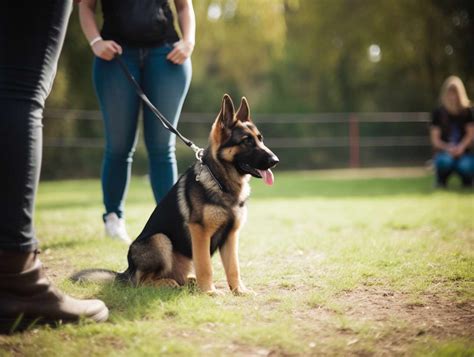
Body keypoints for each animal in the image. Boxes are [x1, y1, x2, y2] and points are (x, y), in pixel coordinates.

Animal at [72, 93, 280, 294]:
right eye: (247, 141)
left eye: (260, 139)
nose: (275, 160)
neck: (221, 182)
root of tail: (127, 272)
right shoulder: (200, 233)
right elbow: (206, 266)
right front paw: (209, 292)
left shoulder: (230, 236)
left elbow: (233, 268)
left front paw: (239, 290)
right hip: (160, 240)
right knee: (142, 282)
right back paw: (169, 283)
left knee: (178, 276)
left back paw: (189, 282)